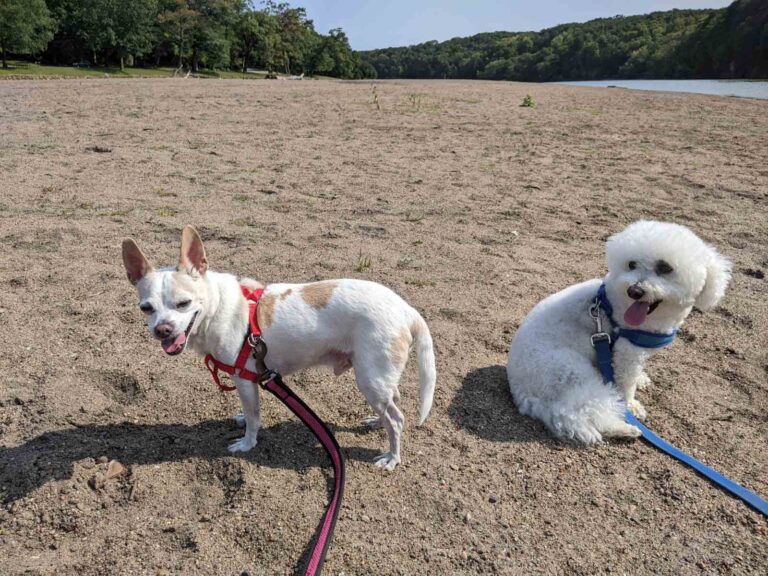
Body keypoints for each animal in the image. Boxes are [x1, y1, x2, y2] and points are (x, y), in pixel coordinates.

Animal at [119, 223, 432, 470]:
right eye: (146, 308)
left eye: (183, 304)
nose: (163, 330)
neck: (217, 307)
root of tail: (406, 309)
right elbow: (247, 413)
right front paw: (241, 419)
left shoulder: (244, 379)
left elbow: (254, 417)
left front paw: (247, 444)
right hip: (379, 378)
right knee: (393, 403)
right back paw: (378, 423)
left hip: (369, 378)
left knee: (397, 419)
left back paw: (392, 457)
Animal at [508, 219, 728, 440]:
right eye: (632, 264)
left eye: (665, 268)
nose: (635, 290)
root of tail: (520, 391)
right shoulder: (628, 352)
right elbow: (626, 383)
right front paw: (631, 405)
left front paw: (642, 378)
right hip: (570, 370)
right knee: (577, 410)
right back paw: (625, 428)